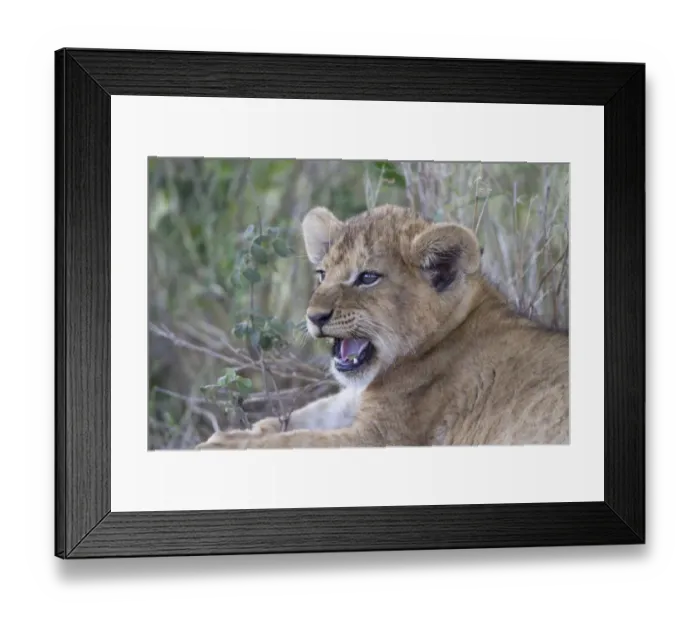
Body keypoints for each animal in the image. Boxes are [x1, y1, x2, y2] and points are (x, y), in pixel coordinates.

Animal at [196, 204, 569, 450]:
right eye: (322, 274)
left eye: (367, 278)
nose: (314, 316)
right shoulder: (354, 402)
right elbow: (301, 418)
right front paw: (229, 434)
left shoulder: (381, 438)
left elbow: (297, 440)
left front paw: (220, 446)